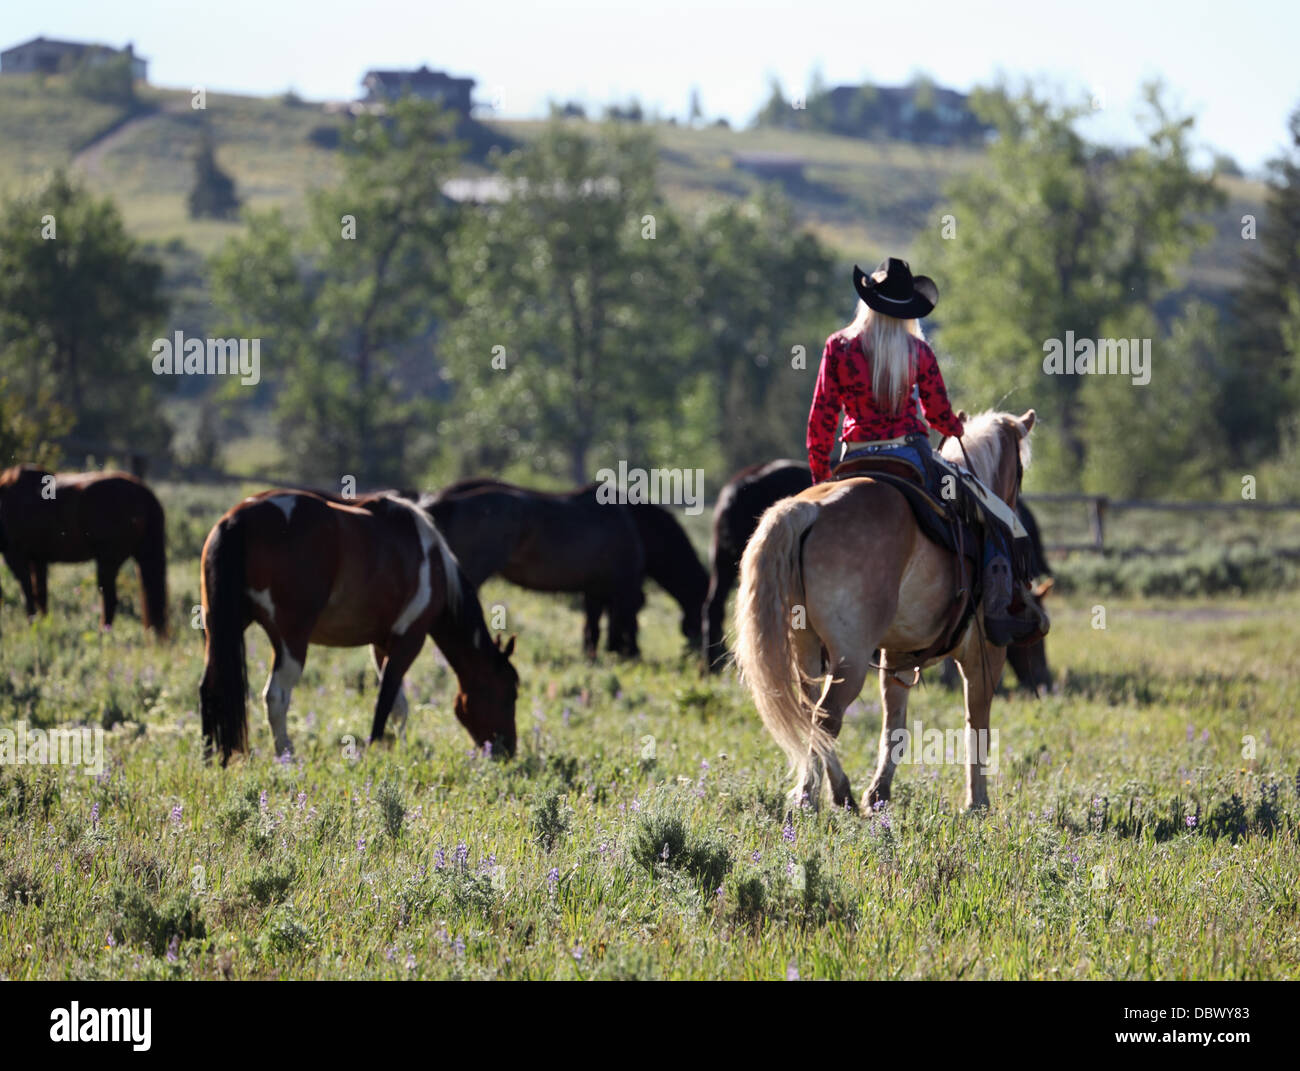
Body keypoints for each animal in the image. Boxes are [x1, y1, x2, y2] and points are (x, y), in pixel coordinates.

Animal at [0, 462, 167, 636]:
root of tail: (143, 492)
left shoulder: (16, 557)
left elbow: (28, 594)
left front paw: (33, 626)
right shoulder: (38, 559)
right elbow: (40, 594)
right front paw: (44, 625)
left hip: (108, 561)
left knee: (109, 599)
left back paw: (102, 634)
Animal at [197, 488, 517, 764]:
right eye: (510, 693)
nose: (508, 751)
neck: (433, 564)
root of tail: (238, 520)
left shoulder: (381, 644)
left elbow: (398, 705)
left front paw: (399, 748)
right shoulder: (410, 640)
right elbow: (385, 702)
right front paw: (377, 749)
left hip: (218, 630)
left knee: (209, 686)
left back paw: (210, 755)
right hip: (291, 640)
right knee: (276, 696)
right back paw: (286, 755)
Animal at [738, 413, 1040, 811]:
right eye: (1019, 472)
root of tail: (809, 509)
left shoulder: (899, 656)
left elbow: (894, 725)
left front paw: (879, 793)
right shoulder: (984, 654)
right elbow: (977, 724)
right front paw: (977, 802)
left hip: (805, 647)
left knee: (809, 713)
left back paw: (825, 793)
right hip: (850, 658)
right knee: (826, 716)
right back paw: (823, 793)